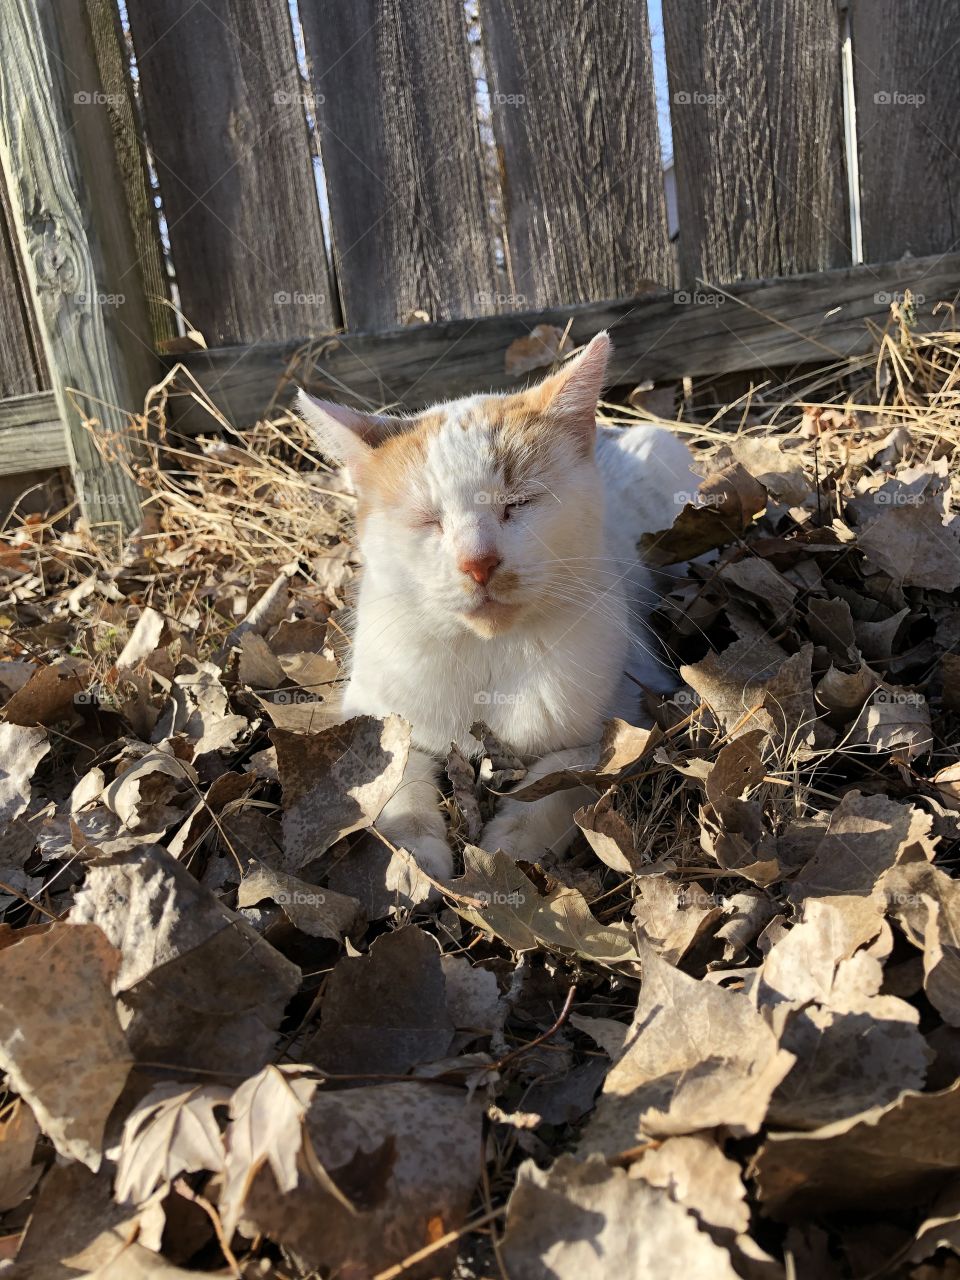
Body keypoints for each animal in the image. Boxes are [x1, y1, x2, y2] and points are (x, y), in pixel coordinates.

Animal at [296, 332, 696, 880]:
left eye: (518, 503)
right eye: (428, 519)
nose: (478, 563)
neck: (485, 653)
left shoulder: (619, 716)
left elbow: (556, 786)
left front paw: (508, 850)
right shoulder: (373, 712)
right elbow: (401, 776)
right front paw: (417, 858)